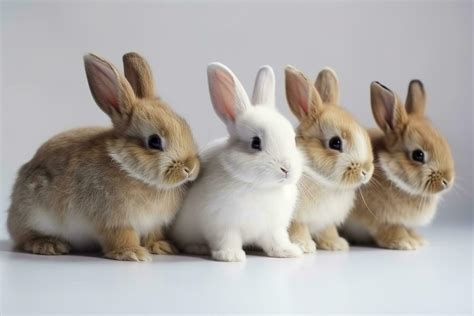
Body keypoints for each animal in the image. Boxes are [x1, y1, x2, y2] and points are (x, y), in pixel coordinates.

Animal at [6, 51, 200, 260]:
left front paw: (164, 247)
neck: (128, 168)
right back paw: (48, 245)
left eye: (185, 125)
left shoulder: (154, 223)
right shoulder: (113, 221)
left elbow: (154, 234)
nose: (190, 168)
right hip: (33, 213)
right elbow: (122, 237)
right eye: (154, 141)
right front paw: (133, 253)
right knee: (24, 237)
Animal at [170, 61, 304, 262]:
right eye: (255, 143)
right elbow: (227, 239)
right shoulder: (222, 224)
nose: (286, 169)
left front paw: (289, 252)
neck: (261, 187)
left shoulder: (273, 227)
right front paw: (231, 256)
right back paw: (198, 247)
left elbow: (277, 240)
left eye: (293, 138)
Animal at [284, 66, 376, 252]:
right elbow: (298, 228)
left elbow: (328, 230)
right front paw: (304, 245)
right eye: (335, 142)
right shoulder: (296, 217)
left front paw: (337, 244)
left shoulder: (325, 220)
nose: (366, 171)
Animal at [340, 79, 456, 249]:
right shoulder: (382, 221)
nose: (447, 181)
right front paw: (406, 243)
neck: (392, 175)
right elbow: (392, 231)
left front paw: (418, 240)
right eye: (418, 155)